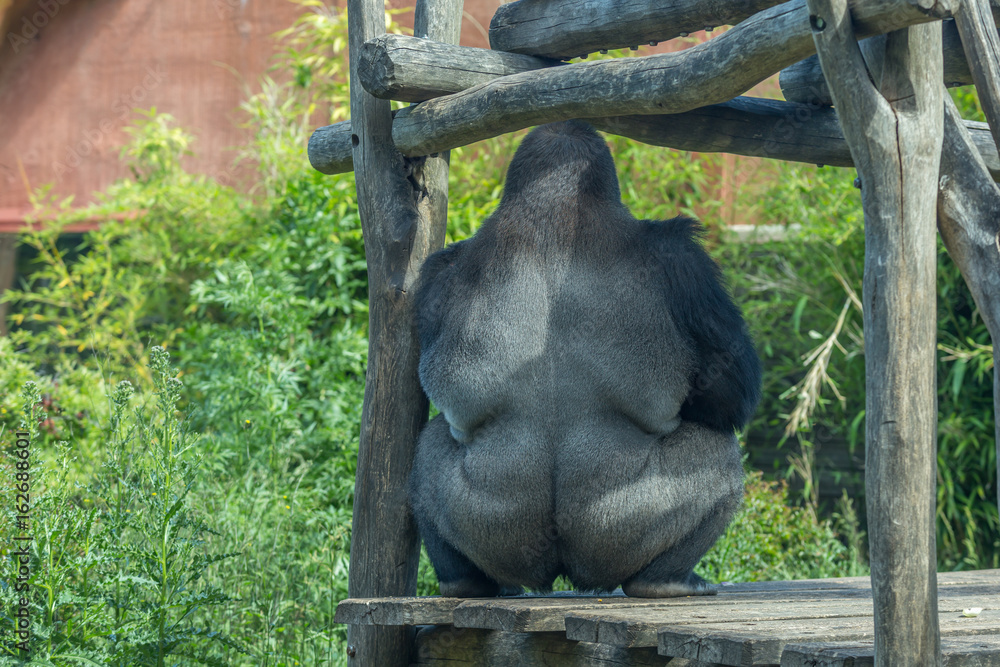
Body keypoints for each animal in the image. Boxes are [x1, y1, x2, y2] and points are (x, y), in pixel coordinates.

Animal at [408, 120, 761, 598]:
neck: (556, 211)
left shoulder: (436, 271)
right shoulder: (683, 259)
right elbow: (728, 397)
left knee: (426, 451)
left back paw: (466, 582)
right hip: (614, 530)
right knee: (718, 452)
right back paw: (663, 581)